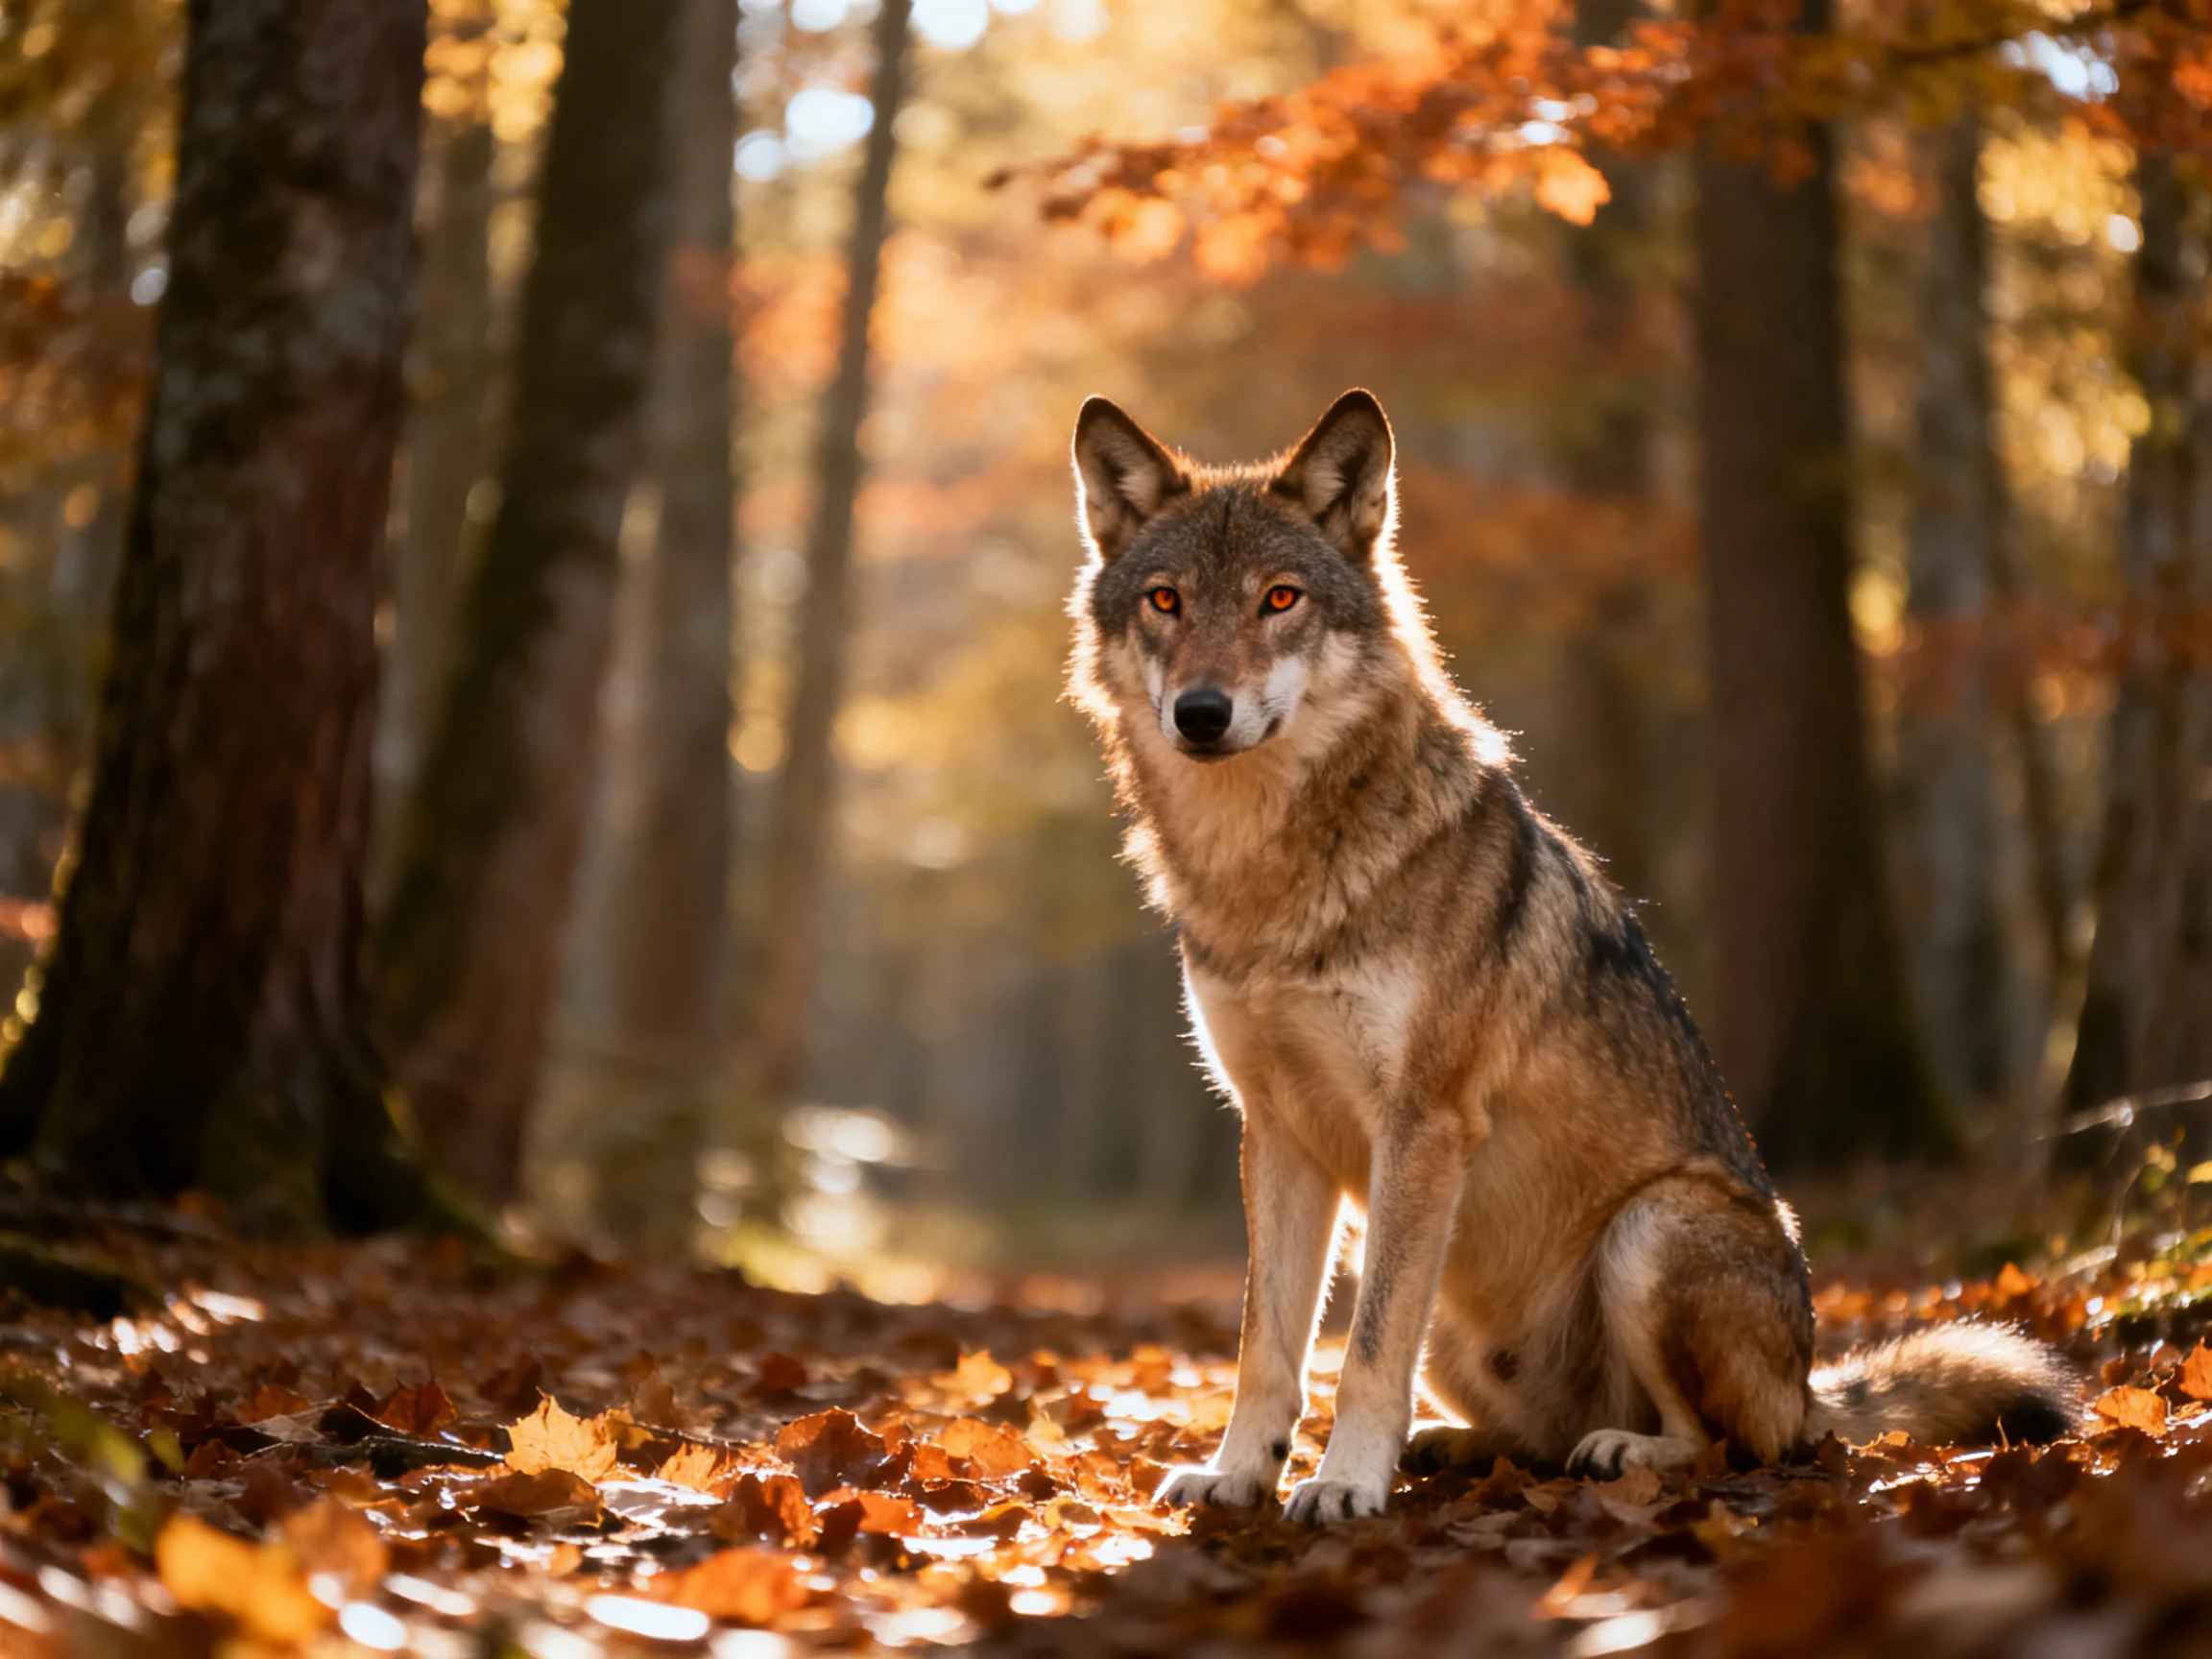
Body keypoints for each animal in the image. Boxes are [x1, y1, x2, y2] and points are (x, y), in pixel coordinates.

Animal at [1065, 389, 2075, 1524]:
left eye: (1279, 599)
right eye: (1166, 601)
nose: (1201, 712)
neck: (1272, 874)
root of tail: (1813, 1384)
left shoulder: (1422, 1126)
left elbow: (1364, 1354)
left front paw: (1343, 1483)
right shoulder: (1276, 1131)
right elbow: (1266, 1346)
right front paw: (1242, 1472)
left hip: (1652, 1229)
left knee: (1730, 1443)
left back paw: (1621, 1451)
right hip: (1448, 1289)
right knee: (1529, 1436)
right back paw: (1454, 1448)